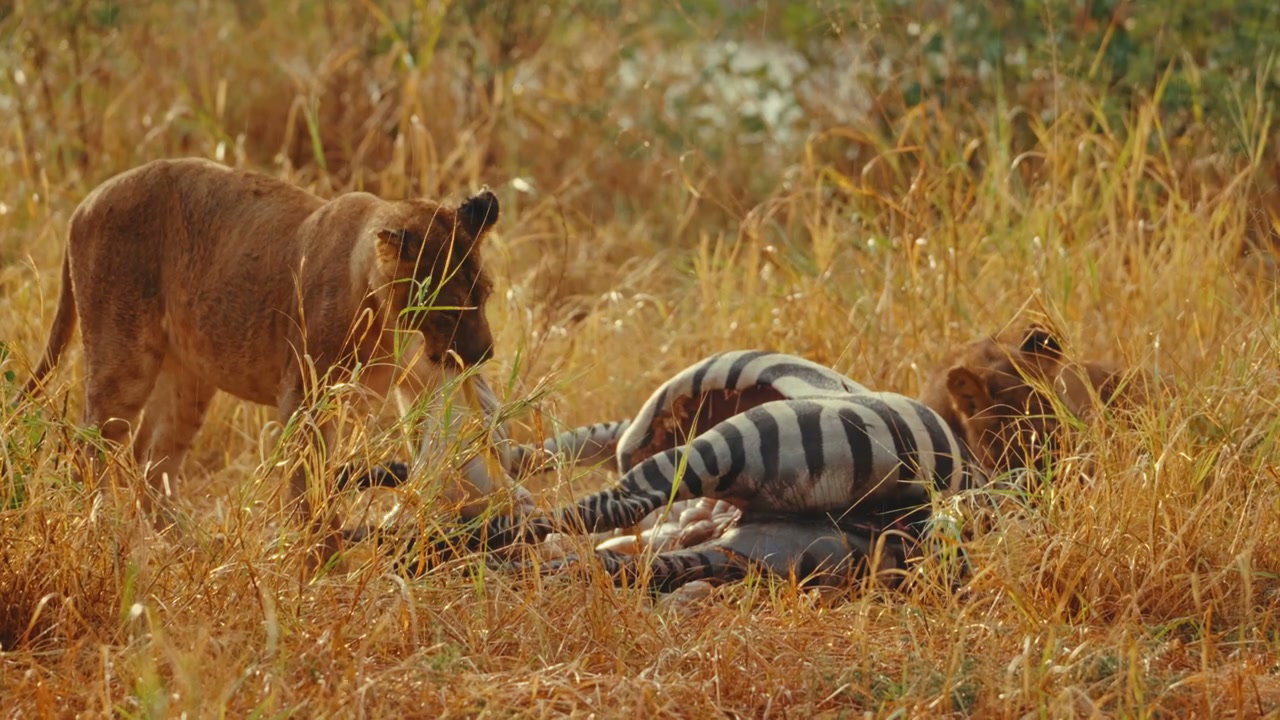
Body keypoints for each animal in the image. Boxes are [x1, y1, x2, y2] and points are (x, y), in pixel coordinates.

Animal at [21, 157, 500, 518]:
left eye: (484, 295)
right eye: (446, 307)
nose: (484, 353)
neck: (388, 322)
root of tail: (84, 203)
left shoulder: (412, 384)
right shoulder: (304, 399)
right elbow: (308, 490)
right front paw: (320, 565)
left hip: (189, 378)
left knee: (151, 461)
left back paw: (178, 547)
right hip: (123, 357)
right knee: (89, 448)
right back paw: (101, 530)